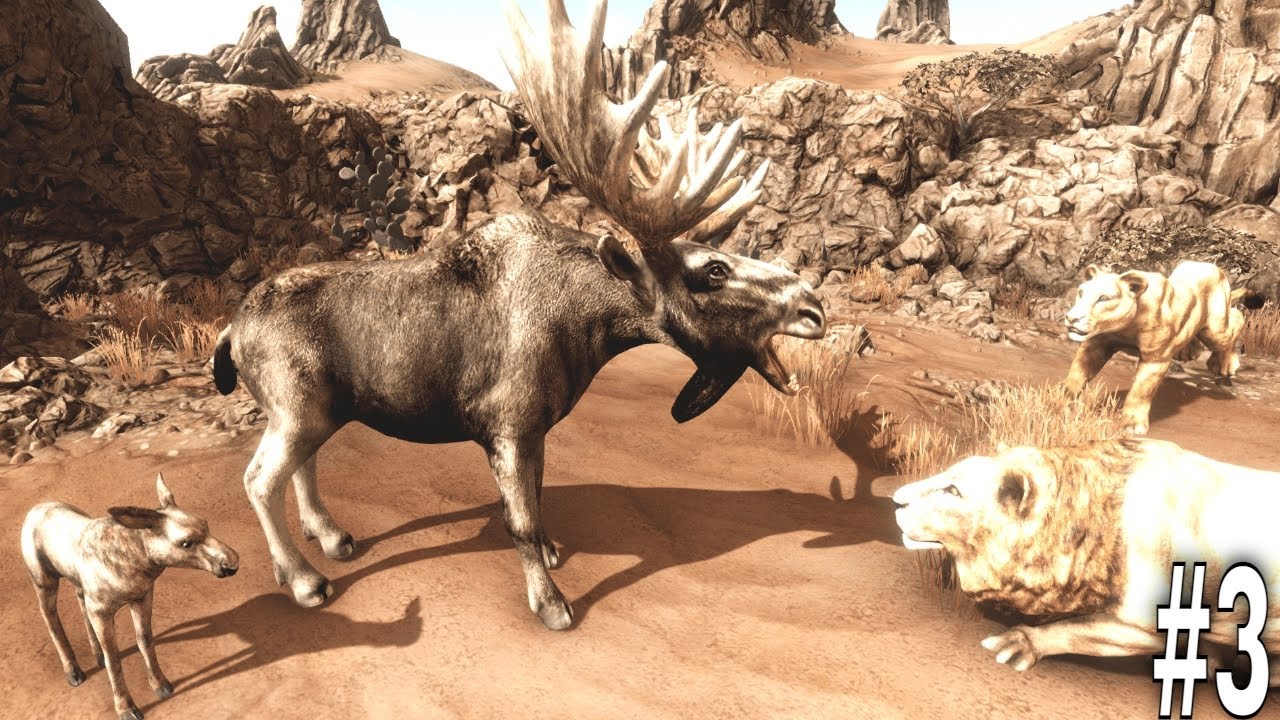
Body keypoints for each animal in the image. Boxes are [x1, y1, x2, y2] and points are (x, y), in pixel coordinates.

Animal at [20, 473, 240, 720]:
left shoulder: (142, 597)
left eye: (207, 525)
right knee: (50, 616)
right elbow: (114, 659)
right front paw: (126, 708)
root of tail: (36, 508)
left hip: (78, 582)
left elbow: (145, 639)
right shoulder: (101, 612)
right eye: (186, 543)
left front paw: (161, 685)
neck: (141, 564)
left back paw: (97, 656)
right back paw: (74, 672)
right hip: (43, 580)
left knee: (79, 601)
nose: (232, 564)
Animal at [210, 0, 826, 630]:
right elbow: (521, 523)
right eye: (713, 270)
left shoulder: (536, 430)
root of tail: (230, 331)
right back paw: (304, 580)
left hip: (317, 412)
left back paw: (333, 538)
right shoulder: (506, 426)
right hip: (295, 408)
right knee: (258, 479)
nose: (813, 305)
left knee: (301, 467)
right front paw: (552, 603)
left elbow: (541, 496)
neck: (587, 330)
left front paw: (555, 553)